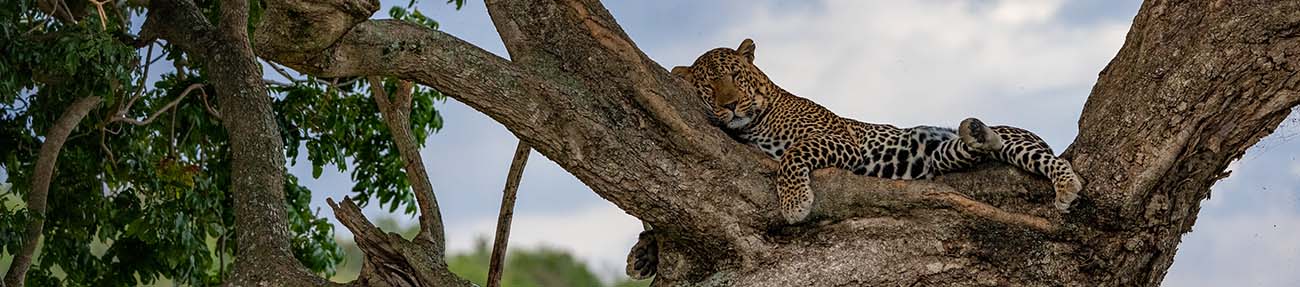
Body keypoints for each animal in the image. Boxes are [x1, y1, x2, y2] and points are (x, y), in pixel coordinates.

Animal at [624, 38, 1081, 280]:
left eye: (736, 77)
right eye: (708, 88)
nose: (731, 105)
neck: (756, 118)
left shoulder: (838, 137)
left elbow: (793, 155)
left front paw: (795, 203)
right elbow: (652, 224)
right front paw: (644, 253)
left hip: (1019, 142)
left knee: (1042, 158)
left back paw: (1066, 186)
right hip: (938, 157)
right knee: (957, 149)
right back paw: (973, 134)